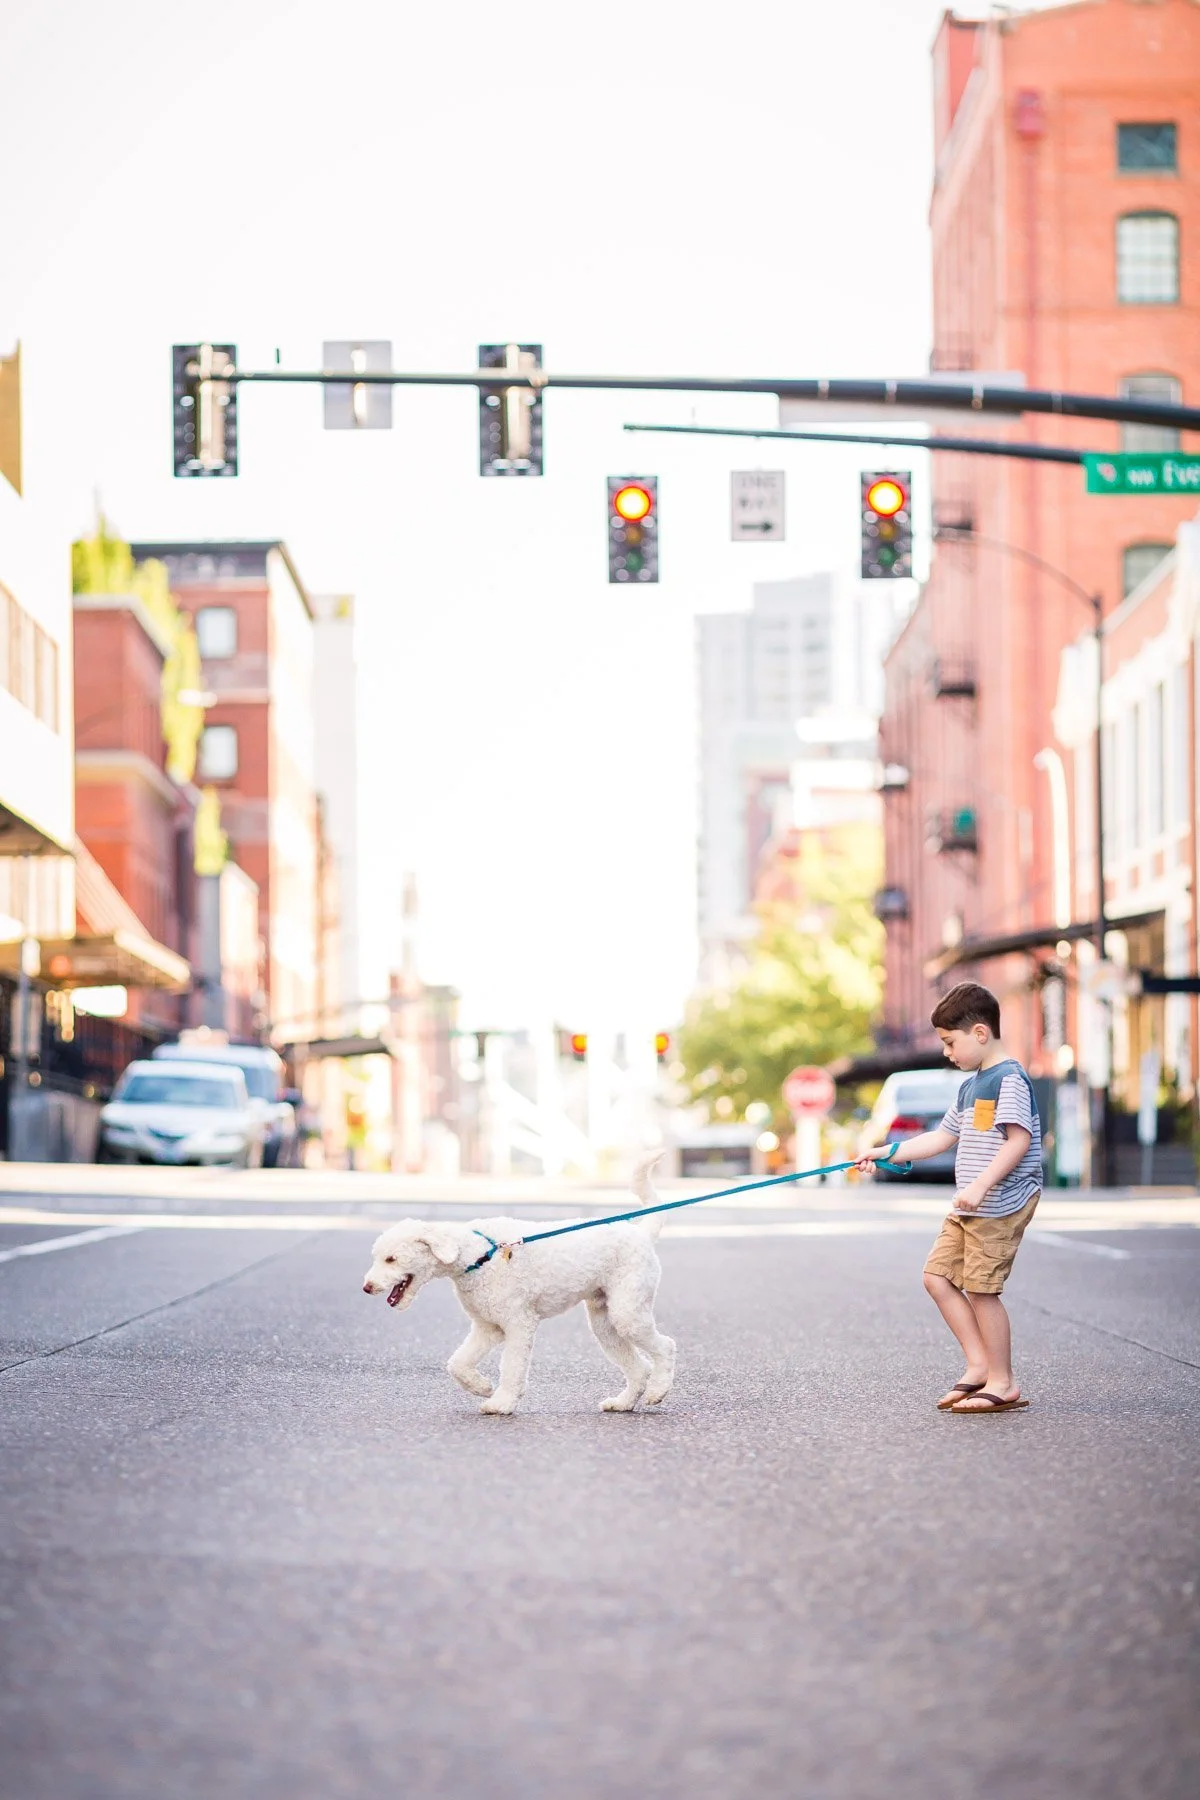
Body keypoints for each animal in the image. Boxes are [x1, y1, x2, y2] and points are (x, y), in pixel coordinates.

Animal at [361, 1159, 672, 1411]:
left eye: (391, 1259)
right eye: (377, 1257)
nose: (367, 1287)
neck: (479, 1255)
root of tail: (642, 1233)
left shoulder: (518, 1324)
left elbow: (511, 1367)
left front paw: (501, 1403)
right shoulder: (487, 1327)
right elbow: (457, 1363)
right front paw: (481, 1387)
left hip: (628, 1312)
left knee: (666, 1347)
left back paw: (658, 1390)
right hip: (605, 1324)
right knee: (639, 1368)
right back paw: (623, 1403)